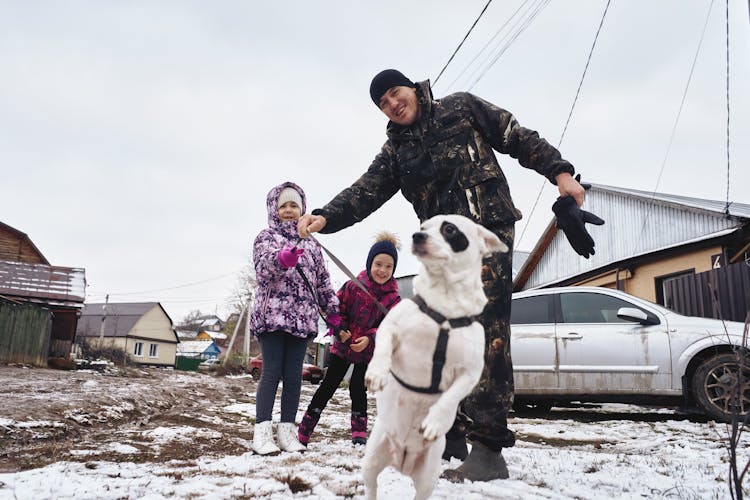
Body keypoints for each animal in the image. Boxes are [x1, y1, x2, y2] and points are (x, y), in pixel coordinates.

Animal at [362, 214, 508, 500]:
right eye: (422, 227)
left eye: (449, 229)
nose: (417, 236)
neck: (445, 306)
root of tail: (402, 460)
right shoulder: (390, 328)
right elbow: (382, 347)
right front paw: (377, 372)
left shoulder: (471, 372)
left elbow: (451, 397)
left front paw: (436, 421)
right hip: (372, 460)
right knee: (371, 486)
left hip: (428, 477)